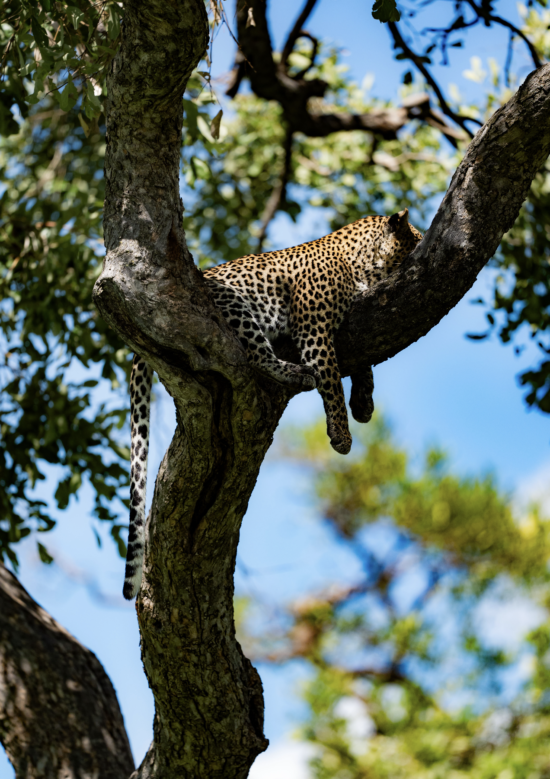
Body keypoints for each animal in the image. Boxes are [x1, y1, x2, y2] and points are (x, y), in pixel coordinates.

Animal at [122, 208, 422, 599]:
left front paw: (363, 403)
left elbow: (363, 365)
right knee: (255, 355)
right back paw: (295, 373)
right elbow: (331, 380)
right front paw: (341, 433)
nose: (424, 246)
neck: (359, 264)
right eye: (417, 239)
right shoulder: (314, 329)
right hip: (235, 303)